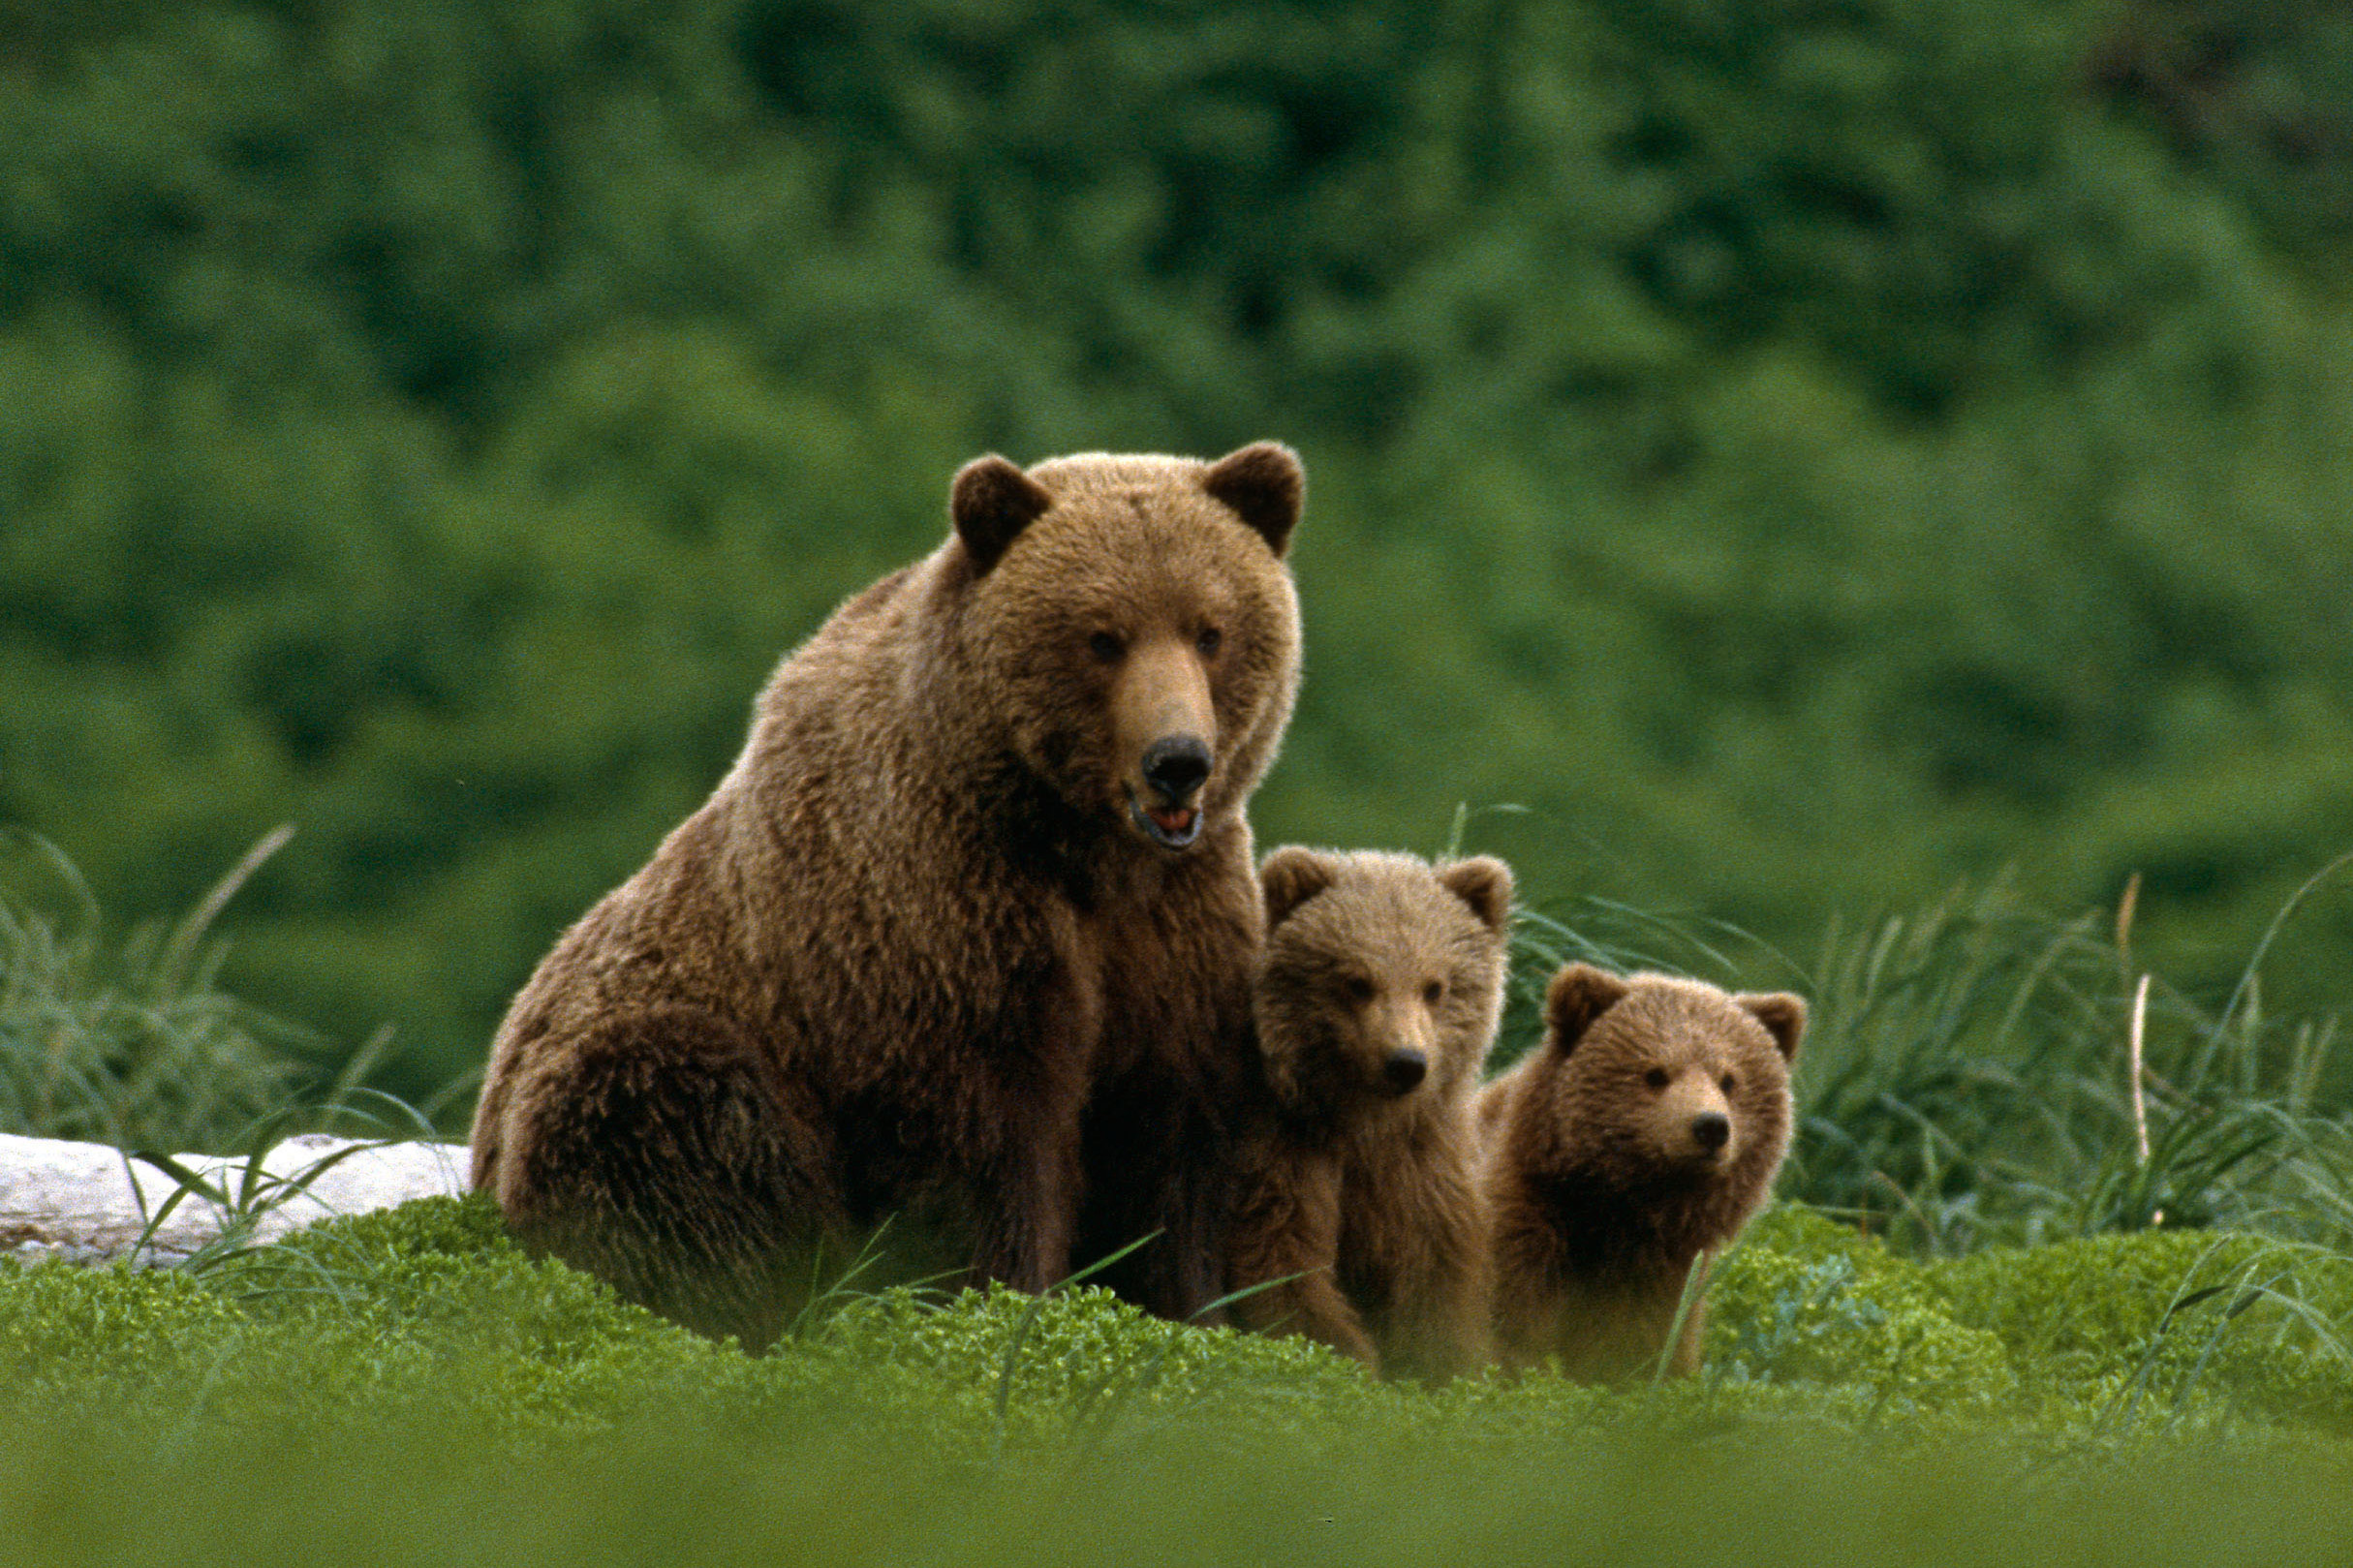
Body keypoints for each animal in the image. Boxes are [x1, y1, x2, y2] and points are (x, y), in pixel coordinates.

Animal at [465, 442, 1298, 1354]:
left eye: (1210, 630)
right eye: (1102, 636)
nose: (1177, 760)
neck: (1077, 843)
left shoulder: (1177, 936)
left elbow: (1170, 1151)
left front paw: (1191, 1314)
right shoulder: (933, 917)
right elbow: (982, 1149)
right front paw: (1000, 1301)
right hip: (627, 1071)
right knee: (679, 1127)